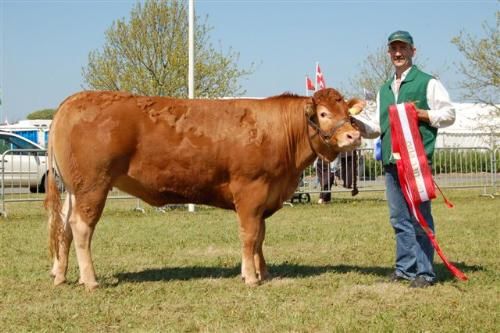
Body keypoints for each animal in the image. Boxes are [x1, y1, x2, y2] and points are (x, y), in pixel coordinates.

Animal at [45, 87, 362, 288]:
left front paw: (264, 272)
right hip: (93, 186)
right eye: (323, 113)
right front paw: (250, 277)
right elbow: (250, 235)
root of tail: (74, 100)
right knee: (81, 227)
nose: (354, 135)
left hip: (75, 189)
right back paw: (90, 280)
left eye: (347, 112)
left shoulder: (265, 197)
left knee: (63, 225)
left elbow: (260, 236)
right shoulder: (250, 190)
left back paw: (60, 275)